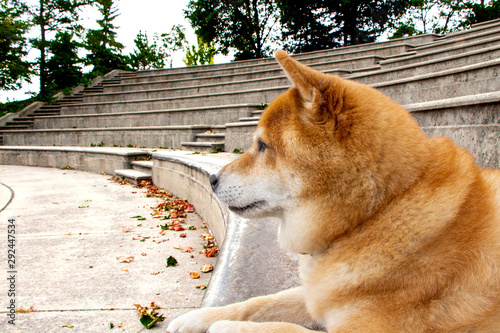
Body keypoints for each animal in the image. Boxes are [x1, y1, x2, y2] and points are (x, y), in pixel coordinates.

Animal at [167, 50, 500, 330]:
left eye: (262, 146)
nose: (212, 179)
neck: (376, 213)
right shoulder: (320, 294)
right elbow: (258, 302)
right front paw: (196, 318)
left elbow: (282, 328)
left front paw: (224, 326)